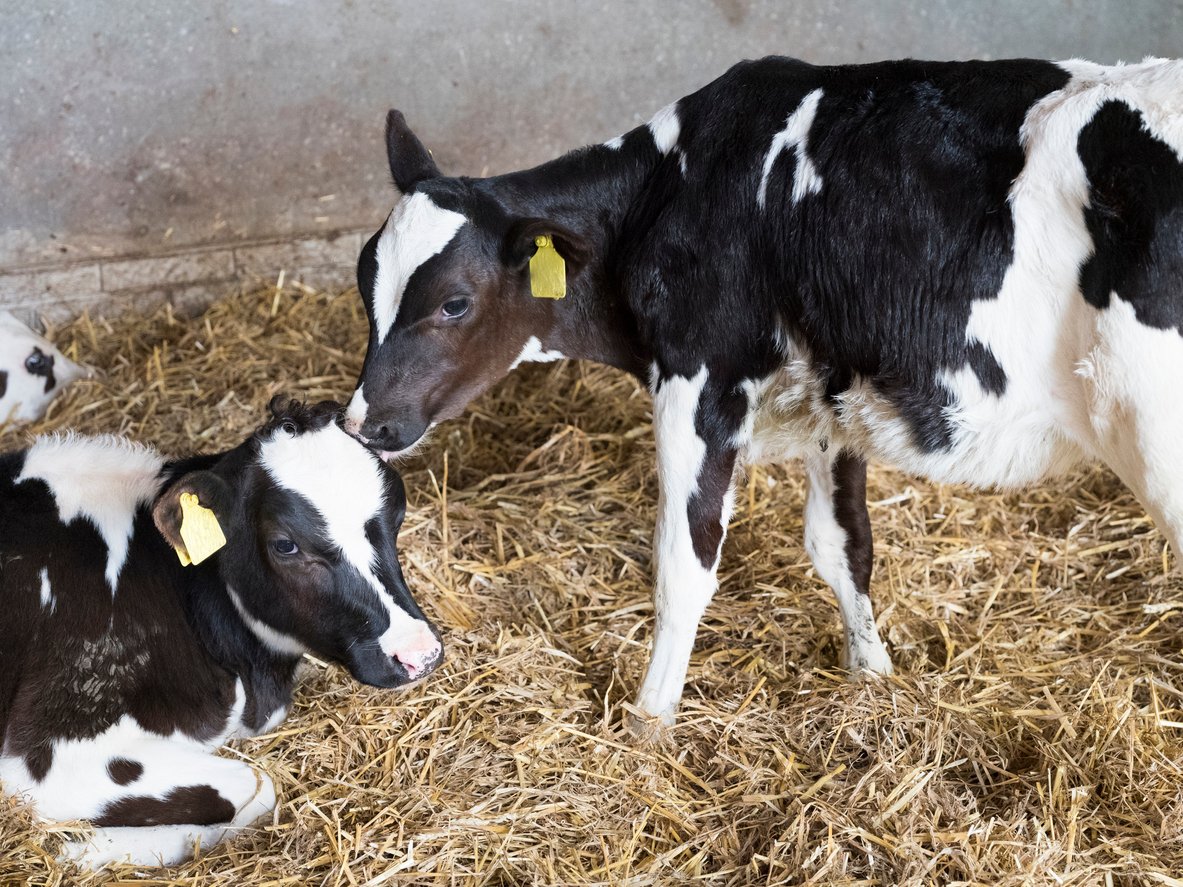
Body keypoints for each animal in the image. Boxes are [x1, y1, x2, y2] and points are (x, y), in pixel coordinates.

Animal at [0, 398, 442, 866]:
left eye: (398, 514)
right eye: (285, 545)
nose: (419, 652)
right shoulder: (47, 754)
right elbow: (259, 788)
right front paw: (85, 850)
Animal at [343, 56, 1183, 731]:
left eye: (453, 302)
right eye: (363, 281)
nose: (362, 422)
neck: (676, 187)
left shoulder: (699, 379)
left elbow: (684, 560)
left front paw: (649, 723)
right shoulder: (831, 393)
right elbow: (842, 544)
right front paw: (869, 678)